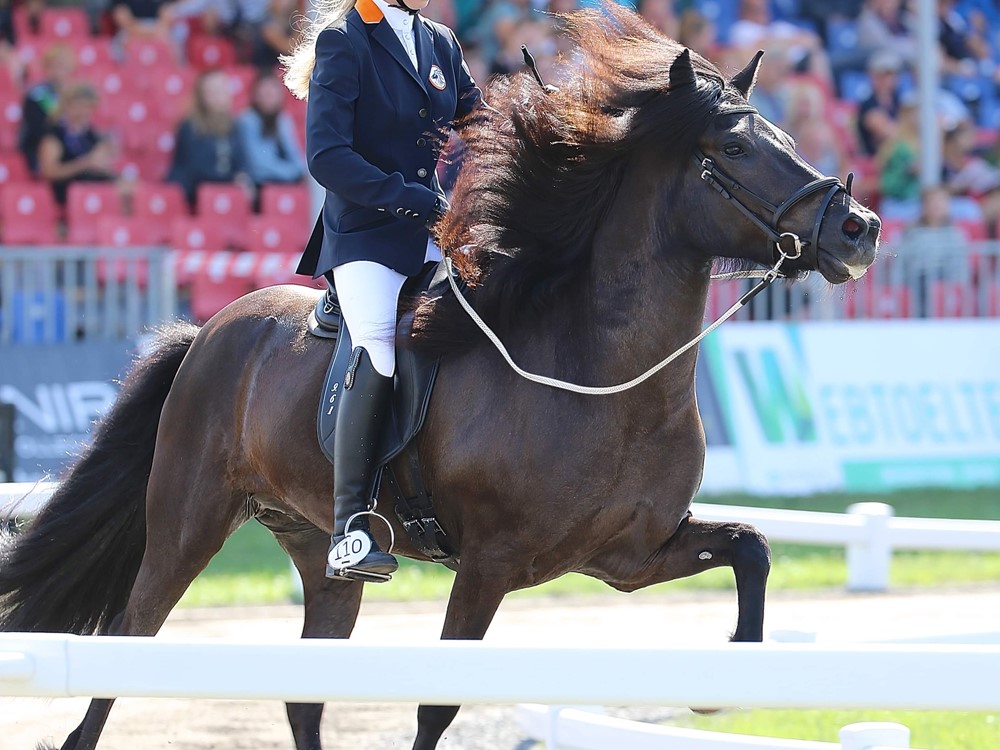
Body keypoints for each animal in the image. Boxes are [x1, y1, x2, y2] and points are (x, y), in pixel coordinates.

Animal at [0, 7, 876, 750]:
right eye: (734, 150)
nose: (858, 229)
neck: (606, 380)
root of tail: (209, 330)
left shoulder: (628, 555)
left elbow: (752, 546)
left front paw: (728, 680)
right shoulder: (490, 562)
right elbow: (438, 705)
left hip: (317, 549)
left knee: (302, 694)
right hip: (187, 524)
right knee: (125, 648)